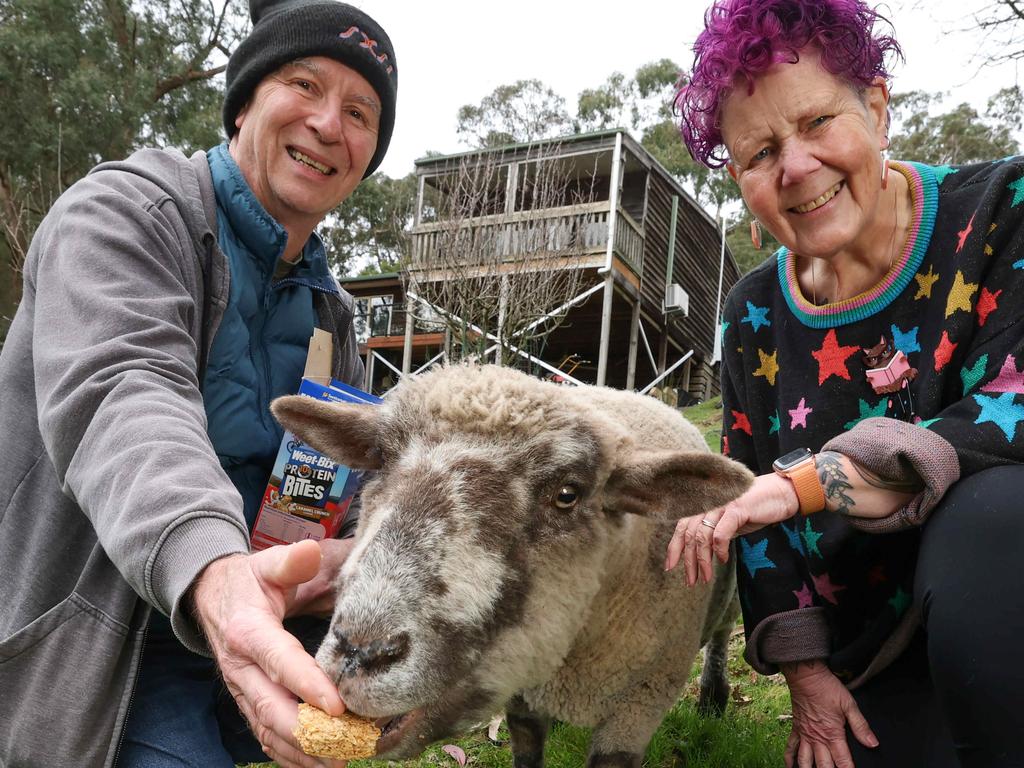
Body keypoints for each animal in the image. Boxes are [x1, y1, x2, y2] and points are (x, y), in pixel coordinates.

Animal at [272, 364, 753, 768]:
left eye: (568, 494)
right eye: (380, 463)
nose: (359, 652)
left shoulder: (639, 706)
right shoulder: (522, 695)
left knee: (722, 633)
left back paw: (713, 696)